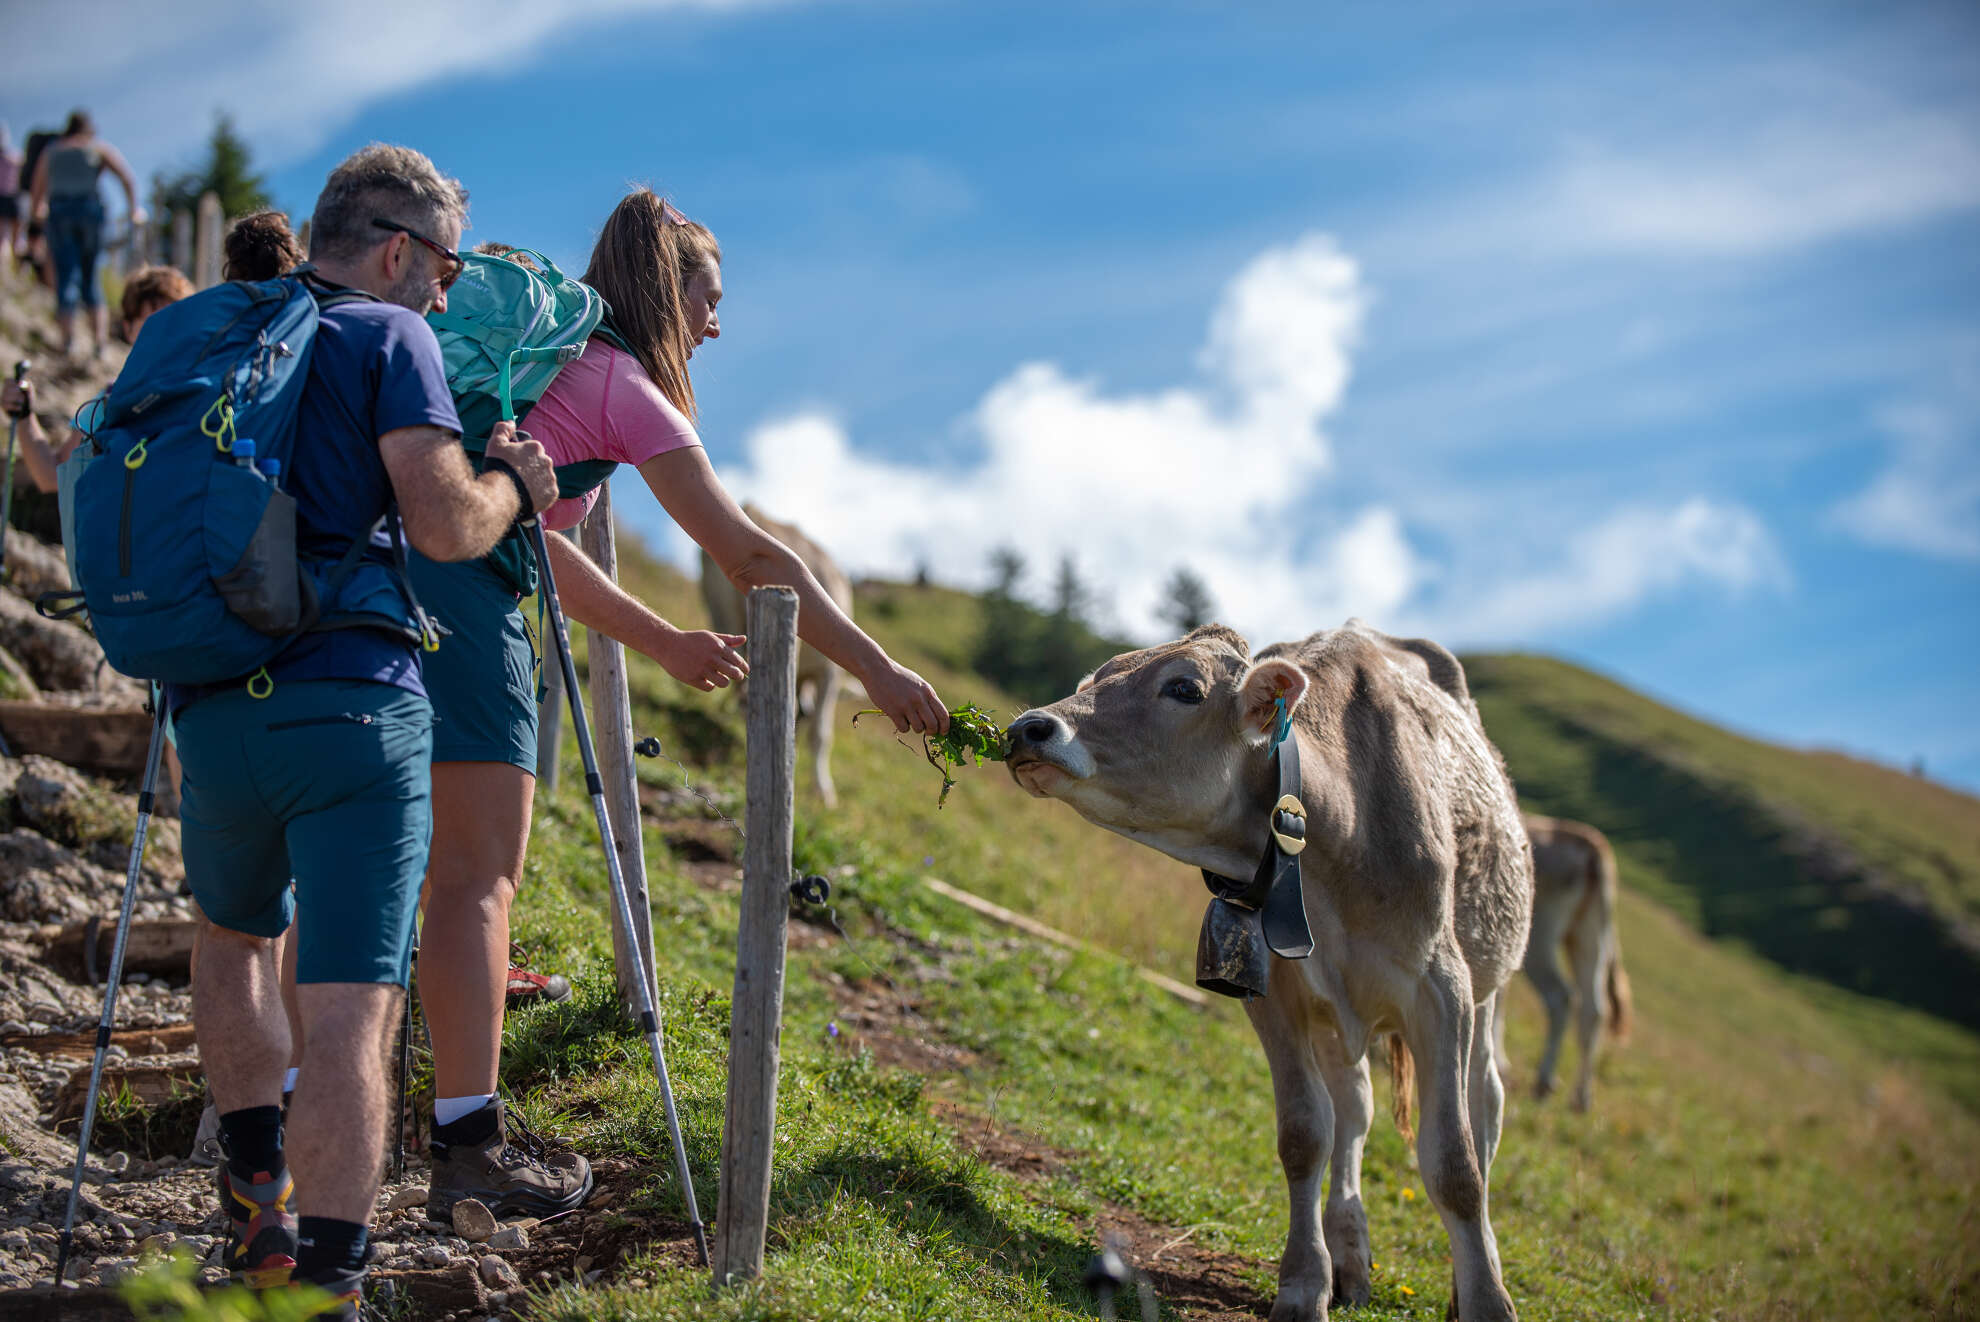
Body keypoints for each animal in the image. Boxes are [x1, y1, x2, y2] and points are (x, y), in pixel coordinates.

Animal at [1005, 621, 1528, 1322]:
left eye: (1184, 688)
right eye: (1095, 678)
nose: (1029, 727)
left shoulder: (1441, 991)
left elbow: (1455, 1165)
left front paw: (1487, 1301)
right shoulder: (1274, 994)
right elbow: (1306, 1135)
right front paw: (1305, 1286)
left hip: (1488, 992)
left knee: (1486, 1112)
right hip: (1338, 1016)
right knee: (1354, 1108)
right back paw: (1350, 1255)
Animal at [1504, 815, 1631, 1116]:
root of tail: (1591, 844)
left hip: (1540, 935)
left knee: (1560, 996)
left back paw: (1544, 1081)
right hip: (1590, 936)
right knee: (1593, 1010)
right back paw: (1581, 1098)